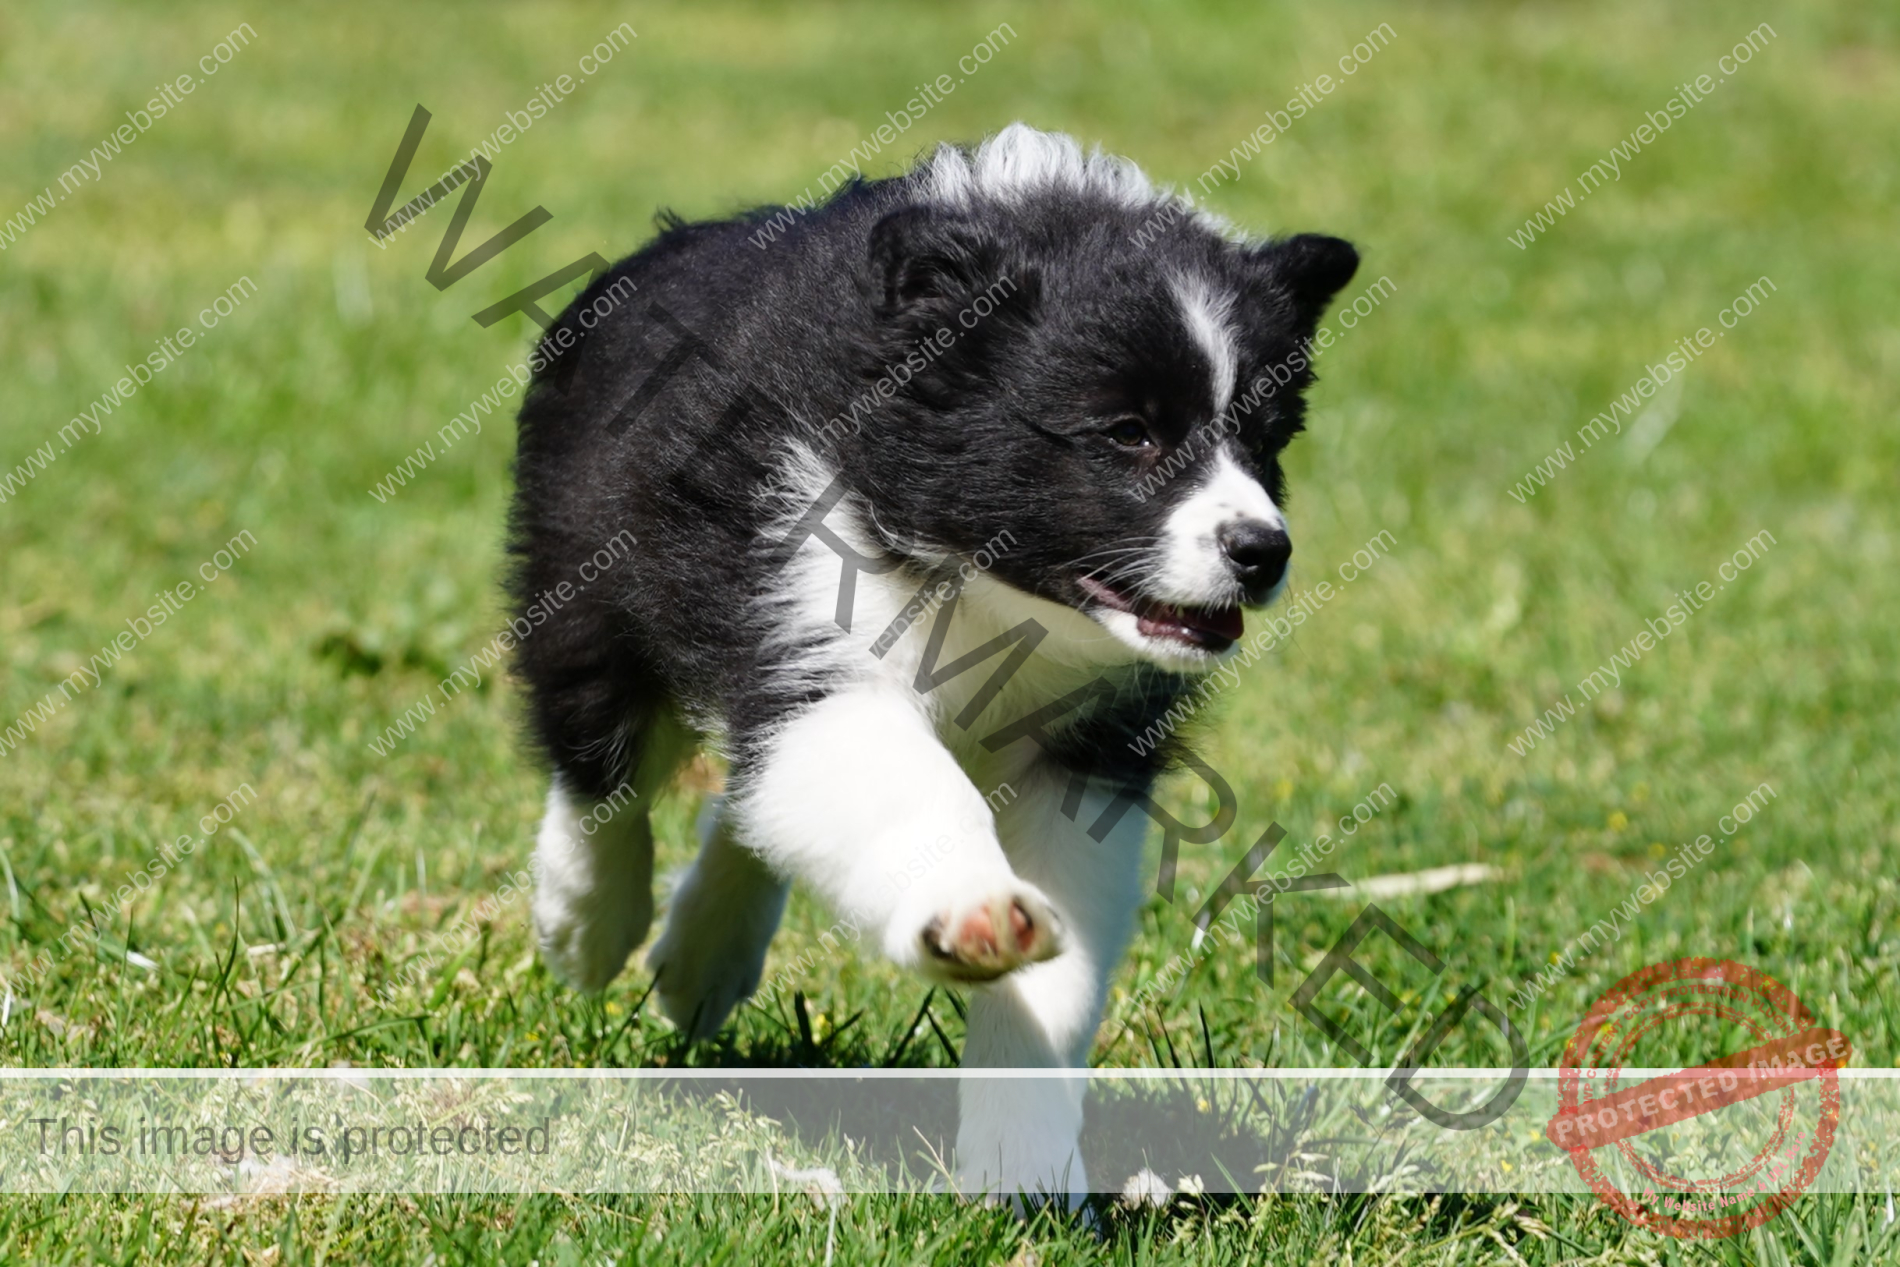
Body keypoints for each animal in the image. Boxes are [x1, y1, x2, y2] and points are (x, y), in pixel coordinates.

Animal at [513, 123, 1360, 1208]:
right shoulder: (814, 627)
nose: (1262, 550)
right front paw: (972, 909)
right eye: (1129, 432)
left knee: (748, 793)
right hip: (585, 582)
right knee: (600, 763)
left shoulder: (1087, 751)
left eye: (1264, 438)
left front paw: (1024, 1168)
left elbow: (1054, 974)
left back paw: (703, 956)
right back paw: (586, 923)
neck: (992, 592)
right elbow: (900, 784)